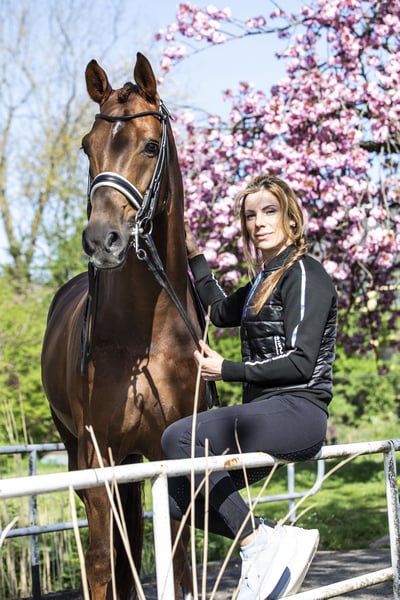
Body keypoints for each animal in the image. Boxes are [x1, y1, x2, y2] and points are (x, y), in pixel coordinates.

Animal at [41, 52, 210, 600]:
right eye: (85, 146)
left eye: (151, 145)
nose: (102, 240)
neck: (145, 338)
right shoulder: (99, 458)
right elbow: (101, 562)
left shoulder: (171, 456)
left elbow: (177, 560)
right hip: (79, 453)